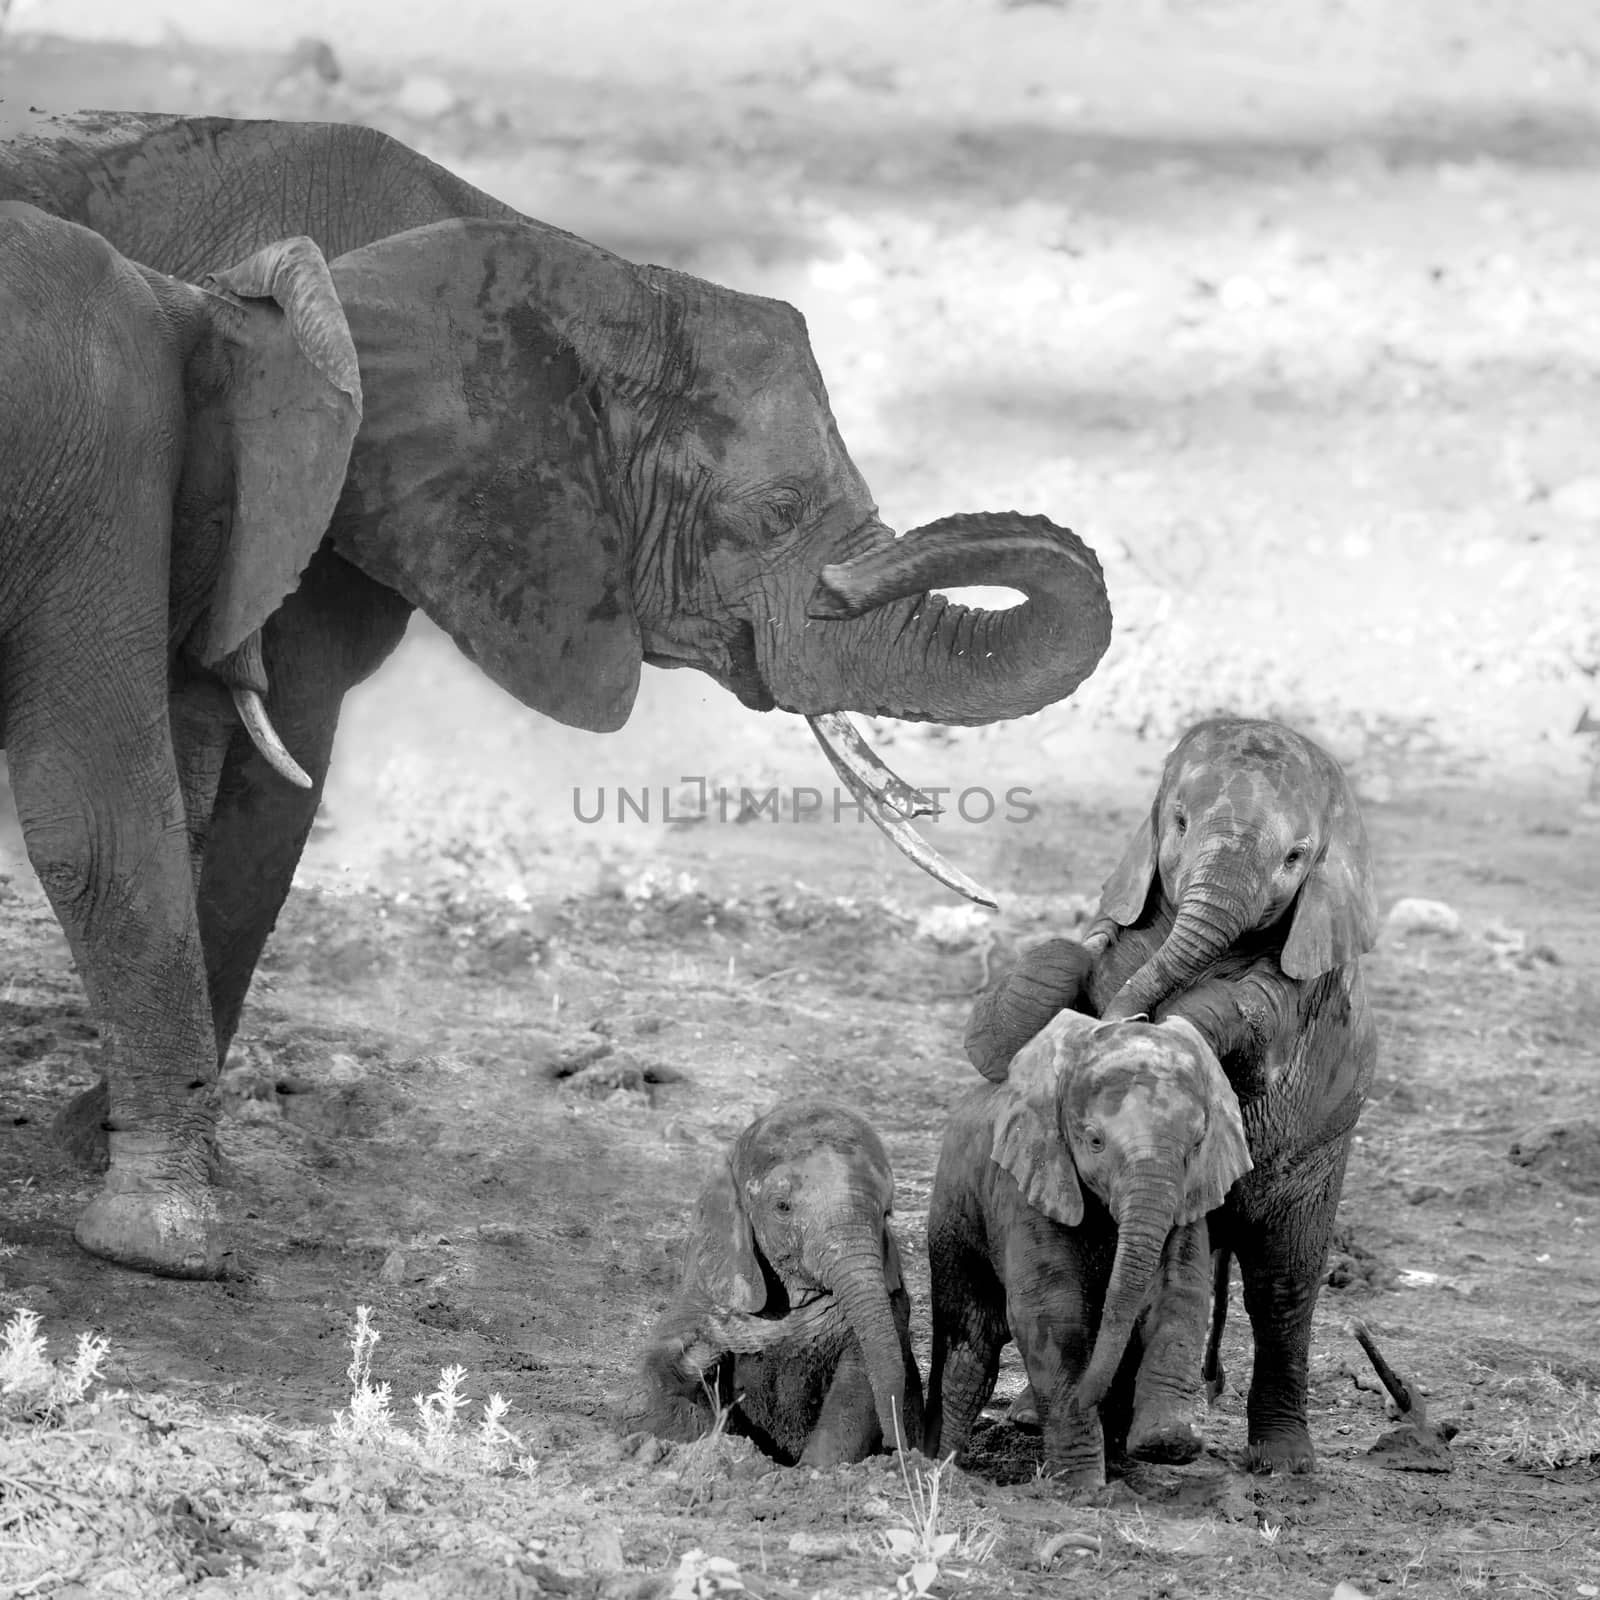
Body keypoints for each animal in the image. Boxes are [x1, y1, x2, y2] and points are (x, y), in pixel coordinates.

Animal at [0, 112, 1113, 1280]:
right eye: (774, 513)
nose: (852, 583)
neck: (577, 272)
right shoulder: (313, 498)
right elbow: (247, 780)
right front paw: (113, 1159)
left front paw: (91, 1136)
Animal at [627, 1100, 928, 1465]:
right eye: (782, 1207)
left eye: (887, 1212)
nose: (900, 1449)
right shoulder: (705, 1289)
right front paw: (699, 1355)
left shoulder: (891, 1302)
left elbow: (858, 1387)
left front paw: (809, 1470)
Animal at [928, 1011, 1248, 1484]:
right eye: (1094, 1141)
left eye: (1196, 1145)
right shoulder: (1028, 1182)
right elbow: (1051, 1313)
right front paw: (1082, 1485)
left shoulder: (1189, 1199)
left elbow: (1180, 1295)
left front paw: (1166, 1443)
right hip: (954, 1216)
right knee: (970, 1349)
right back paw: (942, 1469)